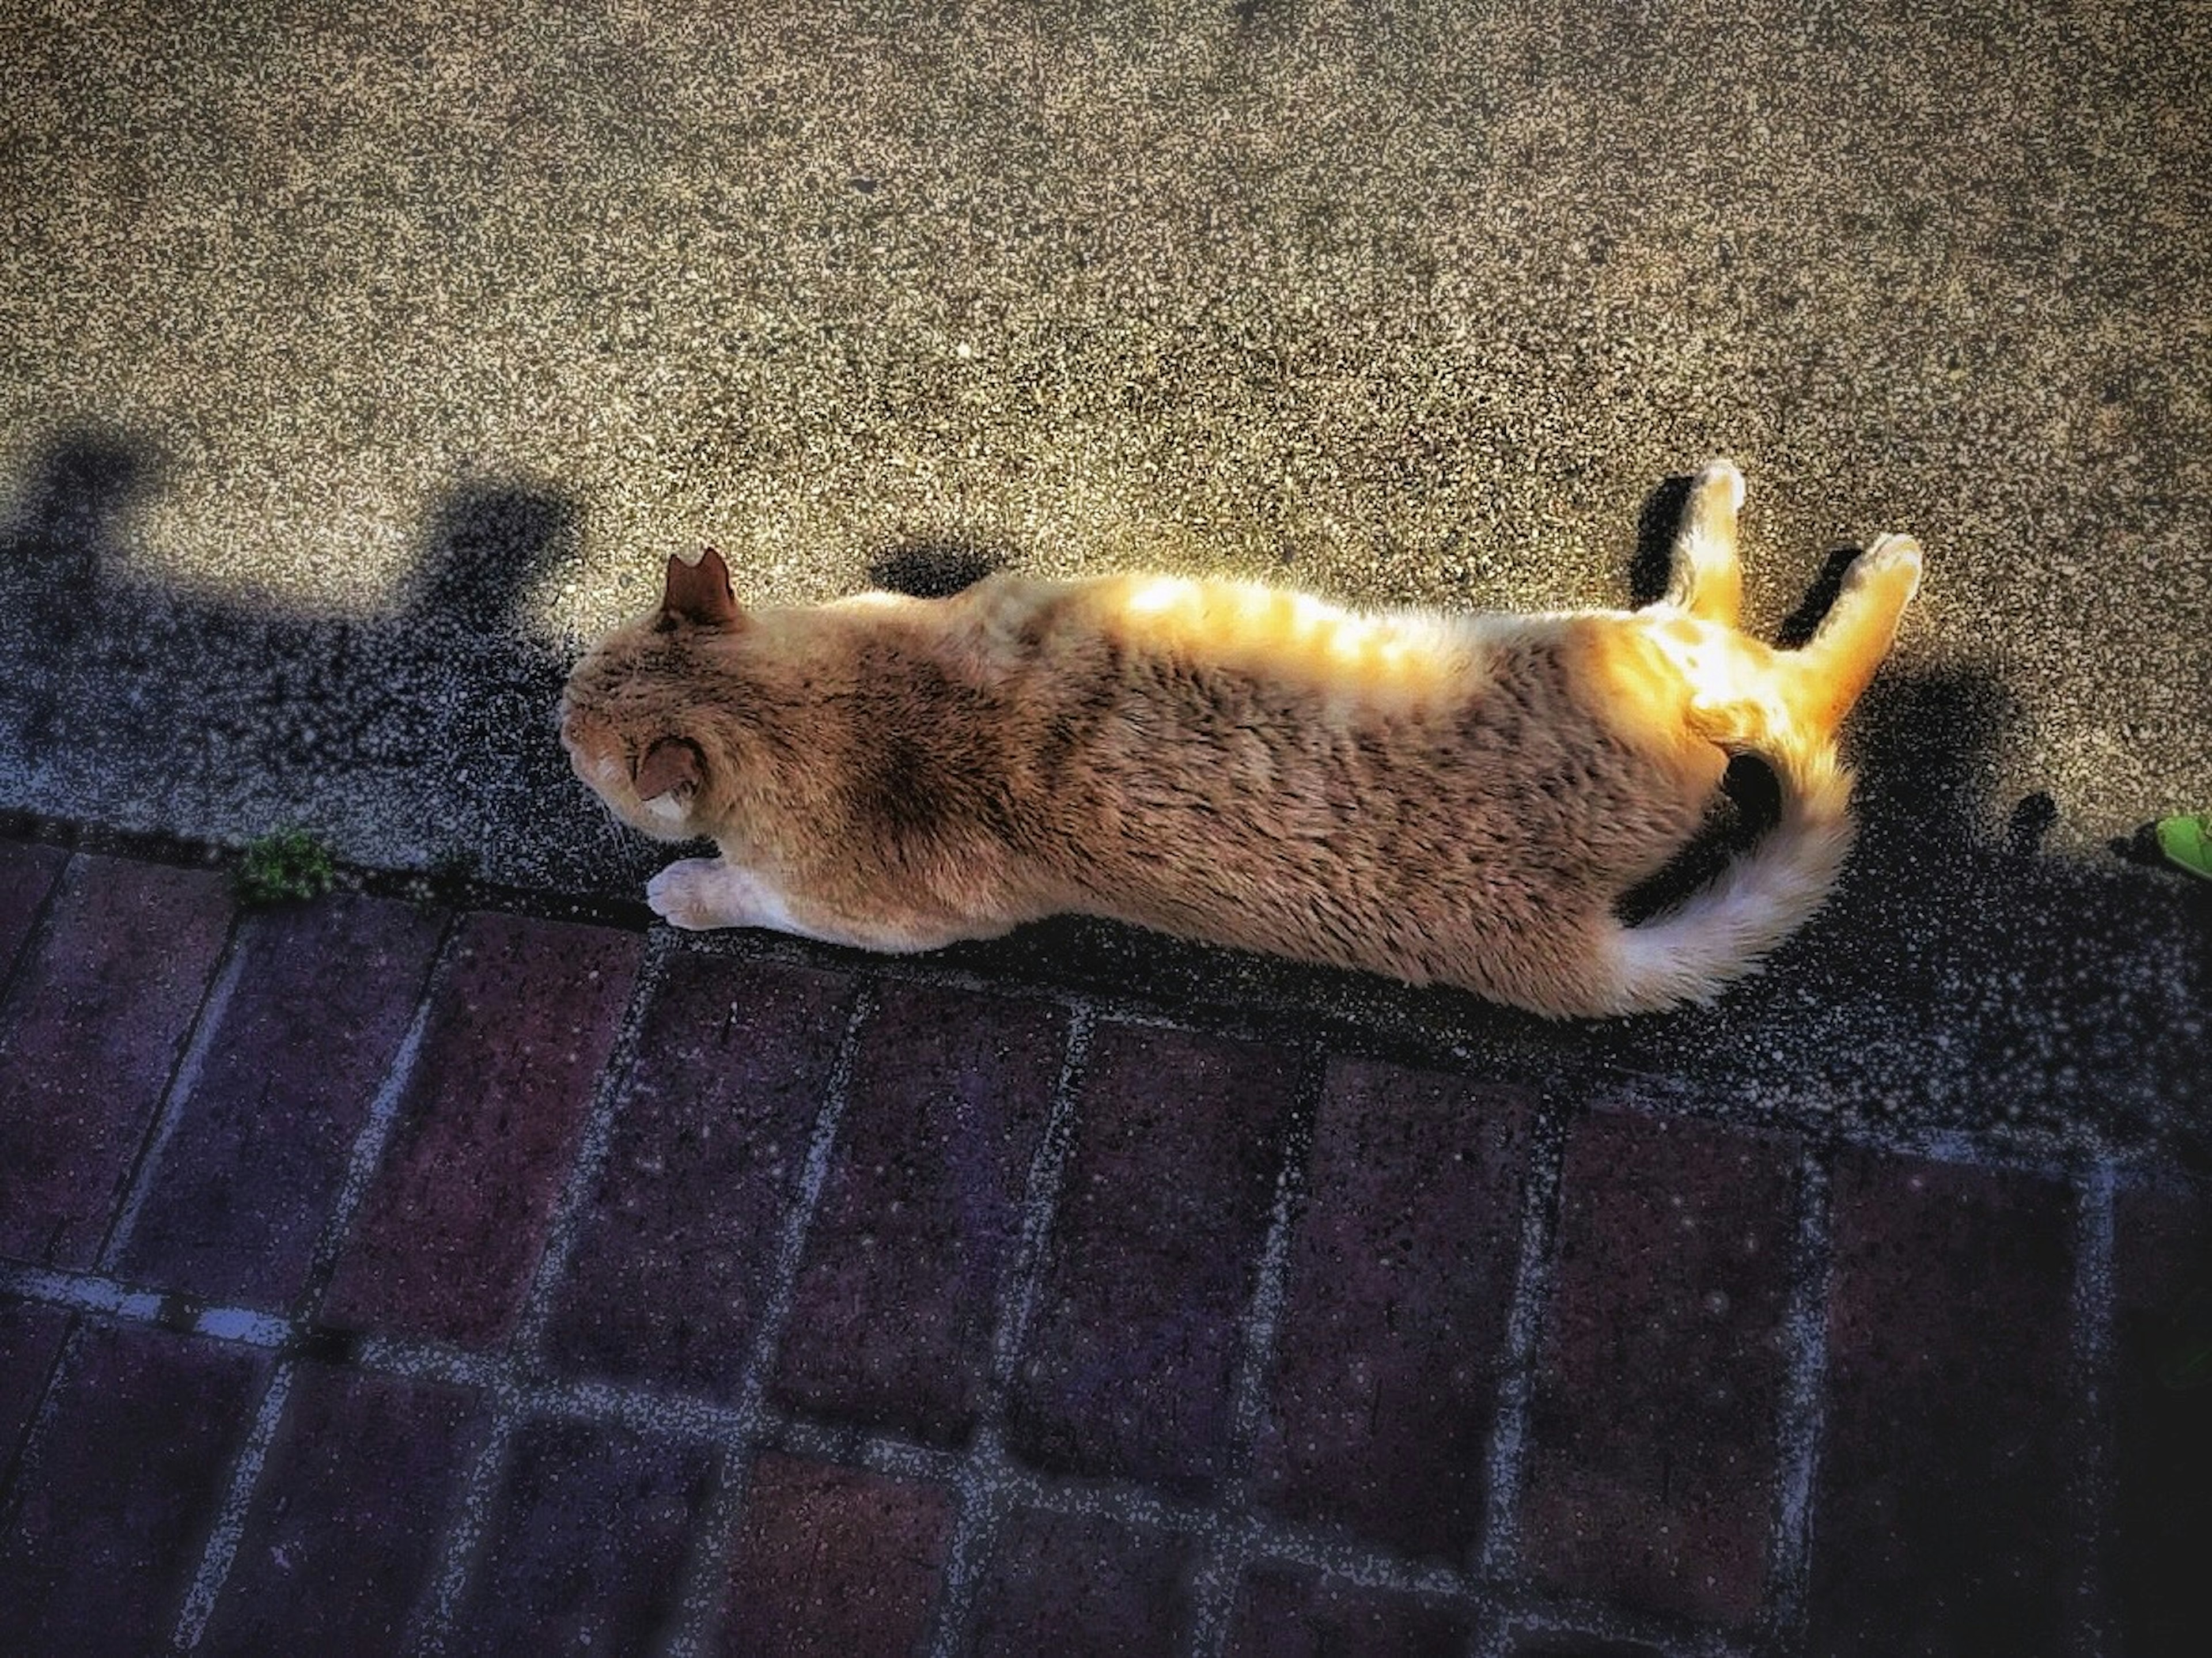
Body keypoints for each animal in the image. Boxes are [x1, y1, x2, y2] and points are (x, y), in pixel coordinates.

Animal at [557, 458, 1920, 1013]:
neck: (826, 705)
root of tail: (1562, 941)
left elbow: (746, 895)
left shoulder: (876, 919)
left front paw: (682, 890)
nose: (552, 716)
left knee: (1787, 680)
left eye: (574, 735)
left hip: (1638, 655)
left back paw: (1822, 549)